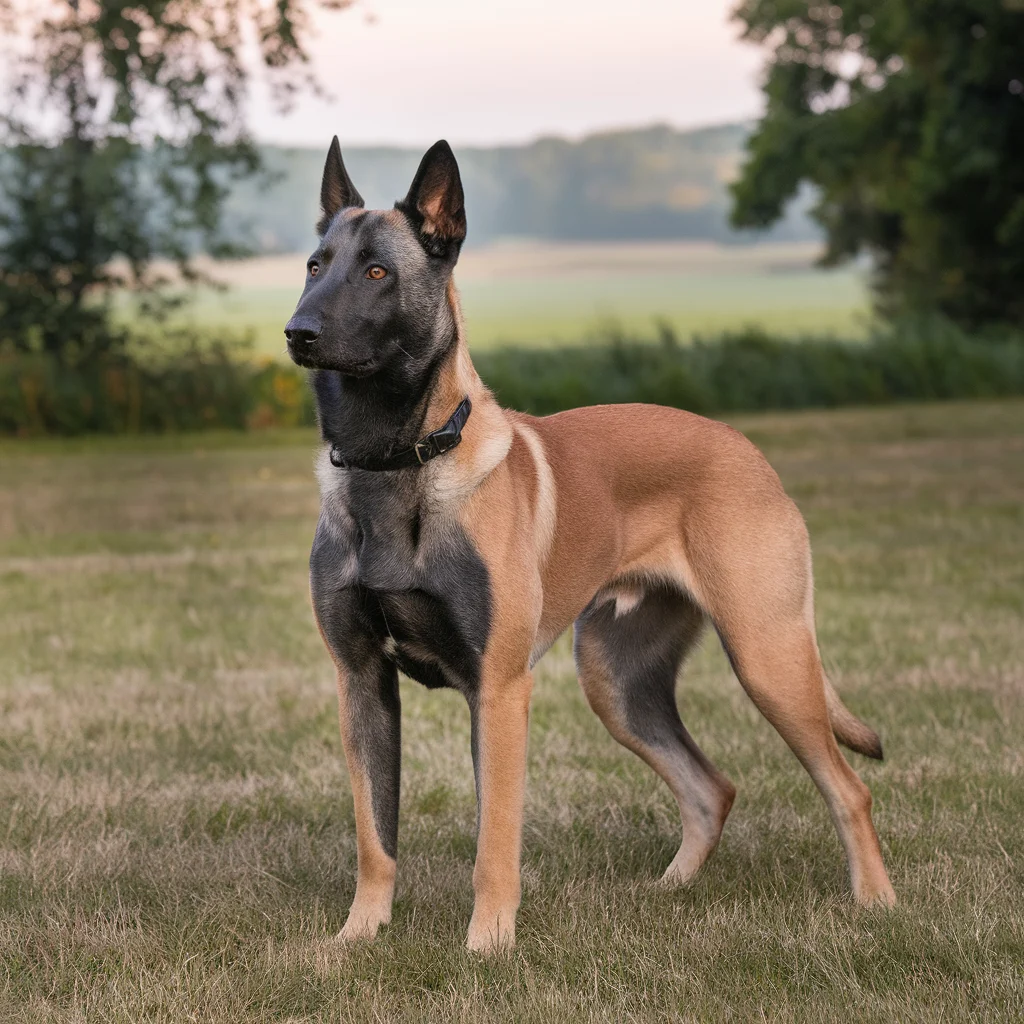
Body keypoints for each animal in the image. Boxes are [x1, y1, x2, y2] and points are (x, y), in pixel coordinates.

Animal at [284, 136, 892, 950]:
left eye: (378, 271)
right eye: (315, 265)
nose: (299, 332)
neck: (395, 462)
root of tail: (746, 449)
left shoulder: (499, 690)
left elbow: (494, 838)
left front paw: (487, 945)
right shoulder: (362, 683)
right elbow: (374, 834)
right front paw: (358, 937)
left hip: (769, 658)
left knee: (848, 789)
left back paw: (877, 904)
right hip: (618, 683)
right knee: (712, 787)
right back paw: (669, 890)